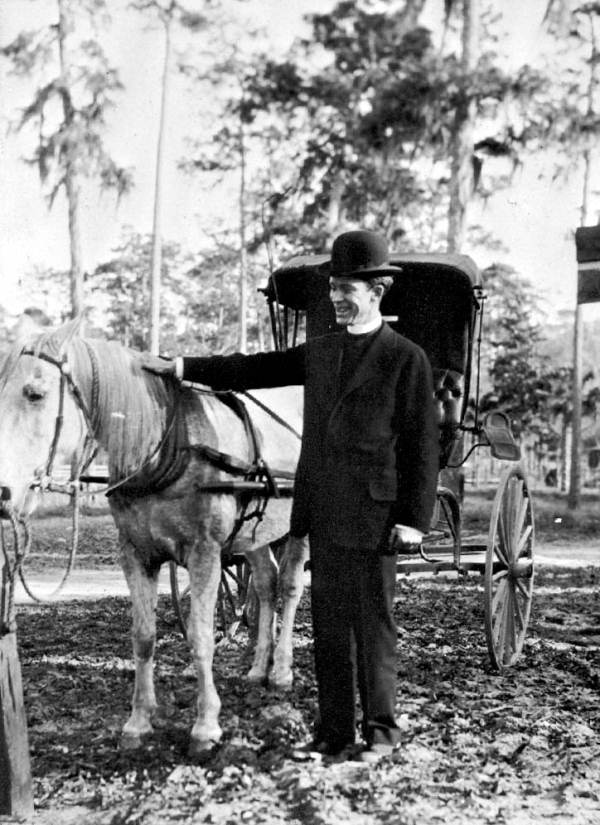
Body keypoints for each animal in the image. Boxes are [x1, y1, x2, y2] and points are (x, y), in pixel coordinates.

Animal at [0, 318, 310, 756]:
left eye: (35, 393)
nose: (3, 491)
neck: (165, 449)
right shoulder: (136, 554)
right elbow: (144, 637)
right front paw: (139, 721)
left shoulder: (205, 554)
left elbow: (200, 637)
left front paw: (205, 725)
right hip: (254, 534)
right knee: (265, 584)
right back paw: (257, 667)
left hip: (298, 526)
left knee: (289, 587)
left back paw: (281, 670)